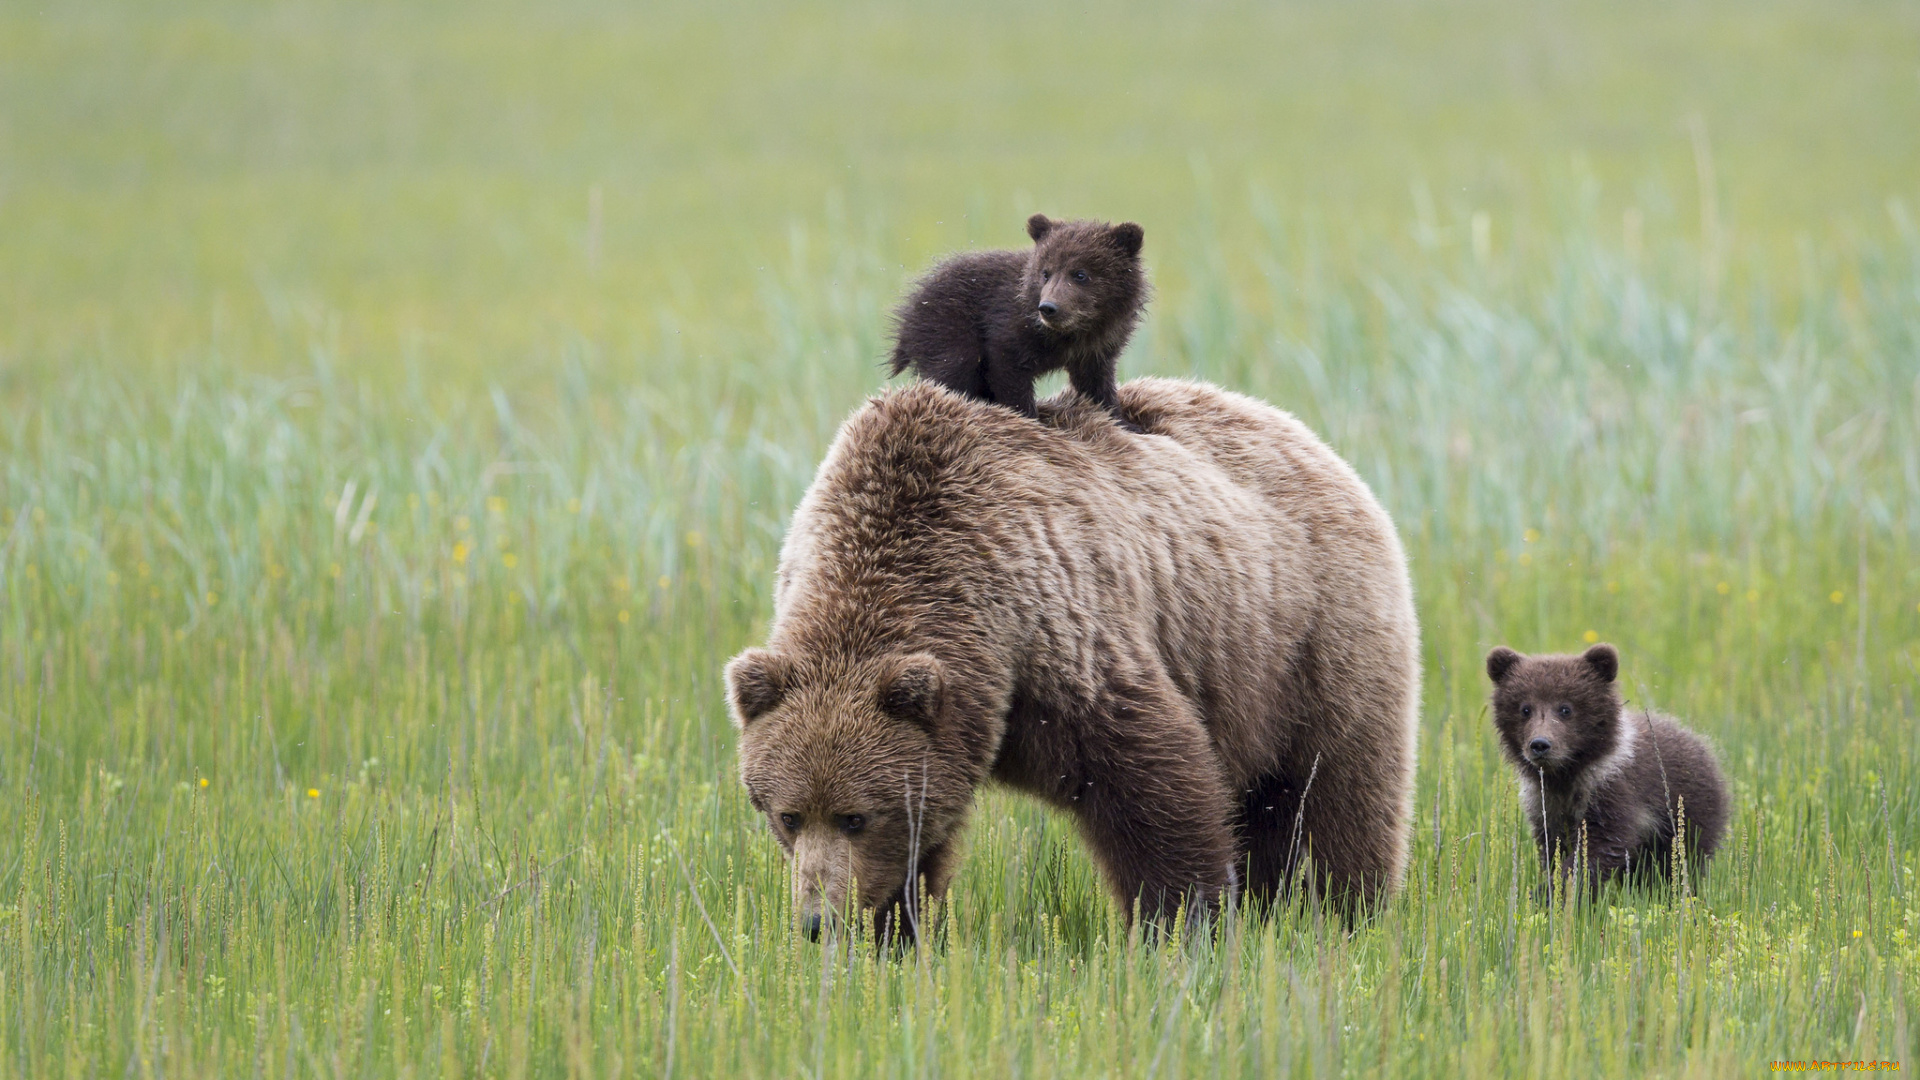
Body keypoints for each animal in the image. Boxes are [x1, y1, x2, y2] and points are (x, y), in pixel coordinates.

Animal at [725, 376, 1420, 933]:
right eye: (788, 816)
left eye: (855, 817)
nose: (816, 921)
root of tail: (1306, 436)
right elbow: (921, 845)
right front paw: (896, 936)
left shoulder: (1058, 633)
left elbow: (1157, 786)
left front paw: (1182, 926)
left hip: (1307, 640)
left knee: (1334, 796)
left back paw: (1344, 917)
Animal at [887, 212, 1144, 426]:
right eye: (1046, 273)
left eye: (1080, 274)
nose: (1048, 308)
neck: (1074, 332)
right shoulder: (1008, 326)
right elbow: (1008, 370)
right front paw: (1029, 419)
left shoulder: (1096, 348)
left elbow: (1096, 383)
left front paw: (1123, 421)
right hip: (948, 327)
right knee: (951, 370)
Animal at [1474, 641, 1735, 887]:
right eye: (1525, 709)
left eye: (1565, 708)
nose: (1540, 744)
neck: (1566, 774)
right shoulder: (1545, 804)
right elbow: (1553, 848)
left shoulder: (1610, 792)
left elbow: (1600, 847)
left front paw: (1552, 890)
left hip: (1688, 813)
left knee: (1680, 861)